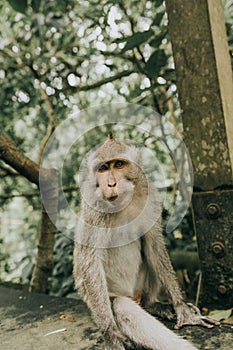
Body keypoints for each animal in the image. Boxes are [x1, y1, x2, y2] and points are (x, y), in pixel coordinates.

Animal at [73, 134, 219, 350]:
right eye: (103, 168)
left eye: (118, 164)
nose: (111, 184)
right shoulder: (94, 206)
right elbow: (90, 262)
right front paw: (110, 333)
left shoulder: (150, 196)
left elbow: (154, 244)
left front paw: (182, 308)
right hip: (101, 299)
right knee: (121, 305)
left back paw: (153, 305)